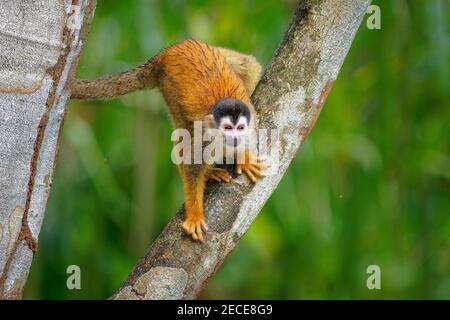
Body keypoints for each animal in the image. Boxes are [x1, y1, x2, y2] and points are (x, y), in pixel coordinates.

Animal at [71, 39, 266, 240]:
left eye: (240, 128)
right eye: (227, 128)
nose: (235, 138)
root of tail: (166, 53)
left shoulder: (252, 128)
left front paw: (244, 157)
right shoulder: (205, 138)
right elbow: (191, 167)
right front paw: (195, 216)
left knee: (249, 66)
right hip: (170, 86)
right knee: (183, 128)